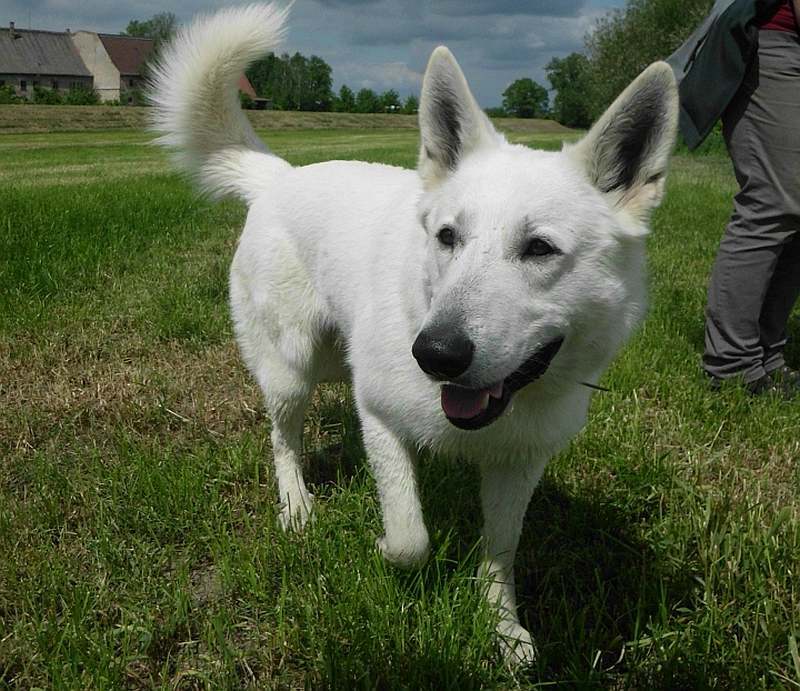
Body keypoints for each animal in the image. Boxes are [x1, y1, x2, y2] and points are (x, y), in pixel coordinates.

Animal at [148, 4, 676, 664]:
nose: (435, 355)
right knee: (281, 439)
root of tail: (279, 177)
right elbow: (409, 538)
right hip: (295, 370)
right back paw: (295, 506)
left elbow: (500, 552)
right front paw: (382, 548)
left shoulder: (519, 464)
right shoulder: (379, 418)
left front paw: (503, 628)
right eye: (447, 236)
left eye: (540, 248)